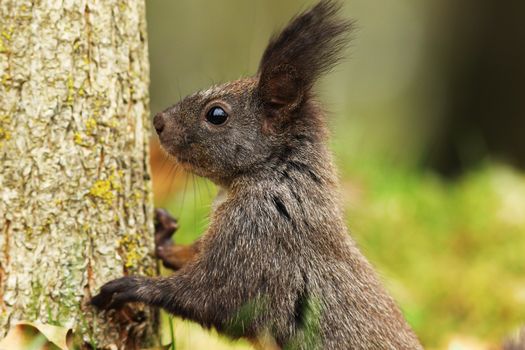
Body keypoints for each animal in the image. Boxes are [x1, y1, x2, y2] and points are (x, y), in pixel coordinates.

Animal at [91, 1, 422, 348]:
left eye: (217, 114)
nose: (158, 121)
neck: (274, 178)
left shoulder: (257, 243)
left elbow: (211, 298)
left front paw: (133, 287)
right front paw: (164, 238)